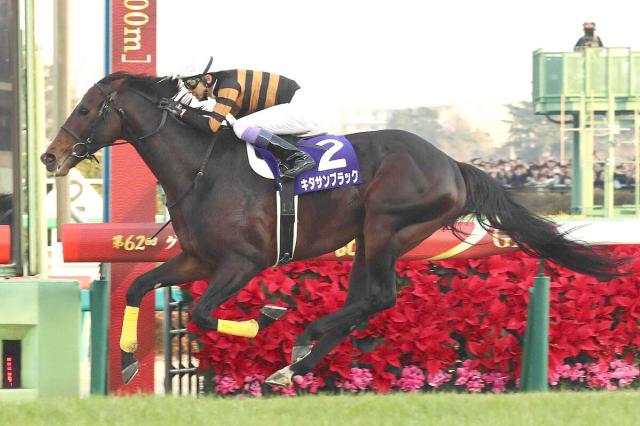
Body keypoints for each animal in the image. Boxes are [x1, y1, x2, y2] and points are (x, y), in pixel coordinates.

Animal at [41, 72, 625, 387]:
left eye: (87, 108)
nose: (49, 156)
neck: (201, 170)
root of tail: (454, 165)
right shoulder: (197, 259)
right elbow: (138, 285)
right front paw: (124, 363)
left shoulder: (242, 262)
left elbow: (205, 315)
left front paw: (267, 318)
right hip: (370, 236)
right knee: (363, 302)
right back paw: (293, 367)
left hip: (388, 224)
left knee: (380, 297)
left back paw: (301, 340)